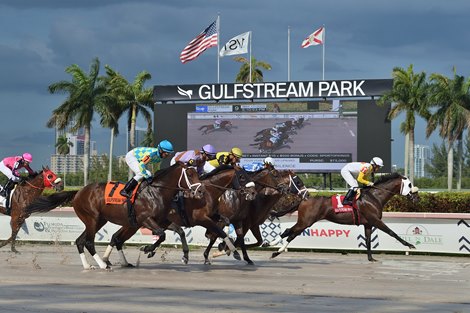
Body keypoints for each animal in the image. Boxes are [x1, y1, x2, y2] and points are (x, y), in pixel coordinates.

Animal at [23, 162, 204, 270]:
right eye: (190, 174)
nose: (201, 191)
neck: (156, 192)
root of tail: (79, 192)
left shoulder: (162, 220)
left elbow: (178, 232)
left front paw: (185, 256)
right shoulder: (145, 219)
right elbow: (162, 235)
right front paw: (147, 249)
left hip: (99, 221)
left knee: (81, 241)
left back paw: (89, 265)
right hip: (92, 219)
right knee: (88, 241)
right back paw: (103, 264)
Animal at [270, 173, 420, 260]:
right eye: (409, 184)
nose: (417, 197)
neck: (374, 197)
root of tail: (304, 198)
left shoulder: (368, 223)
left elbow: (368, 240)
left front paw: (371, 258)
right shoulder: (375, 220)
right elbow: (392, 232)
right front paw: (410, 245)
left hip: (306, 221)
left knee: (289, 232)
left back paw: (272, 246)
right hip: (306, 221)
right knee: (290, 232)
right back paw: (276, 249)